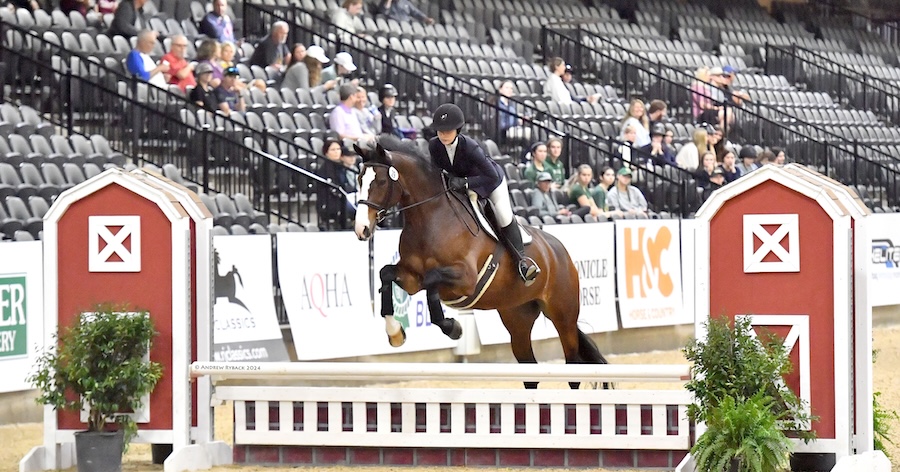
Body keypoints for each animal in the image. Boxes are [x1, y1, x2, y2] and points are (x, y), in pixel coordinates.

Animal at [353, 138, 608, 389]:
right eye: (359, 179)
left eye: (381, 181)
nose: (361, 229)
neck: (431, 219)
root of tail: (559, 251)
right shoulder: (411, 279)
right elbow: (386, 274)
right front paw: (395, 333)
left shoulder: (466, 279)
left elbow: (432, 281)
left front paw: (452, 328)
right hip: (517, 316)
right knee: (530, 371)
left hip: (563, 316)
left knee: (573, 369)